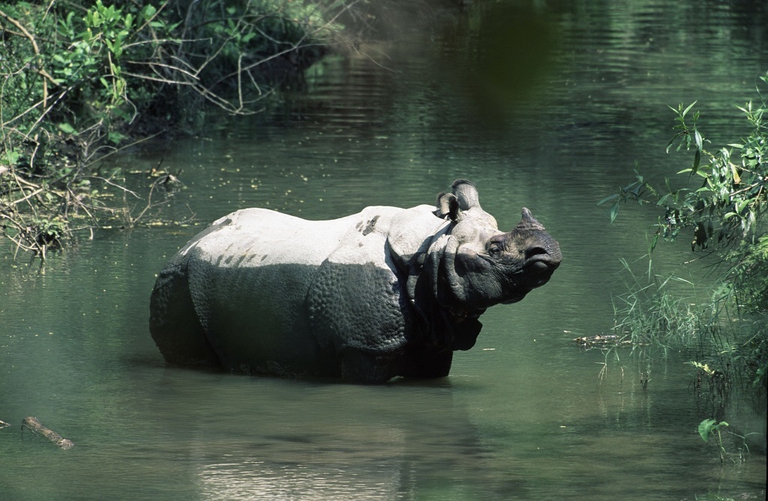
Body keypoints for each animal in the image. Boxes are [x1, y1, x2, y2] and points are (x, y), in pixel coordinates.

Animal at [149, 179, 561, 383]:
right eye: (494, 247)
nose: (549, 253)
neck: (432, 248)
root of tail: (185, 245)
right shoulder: (364, 346)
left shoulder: (437, 334)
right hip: (176, 283)